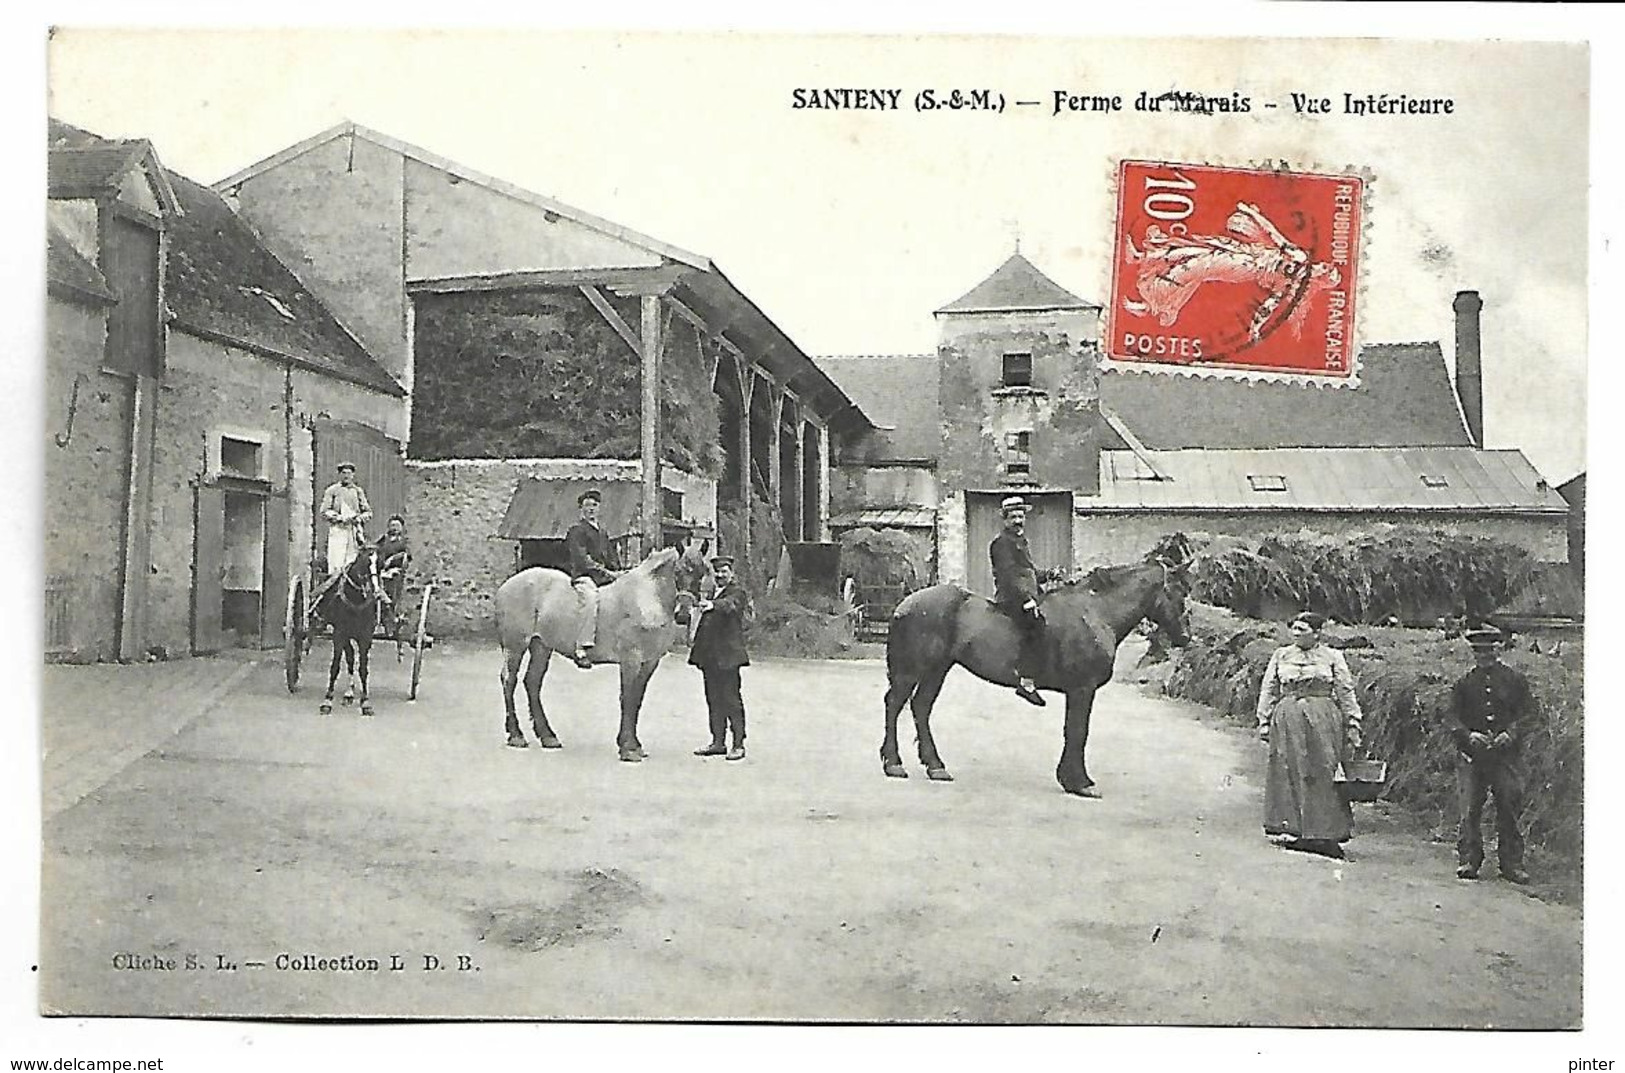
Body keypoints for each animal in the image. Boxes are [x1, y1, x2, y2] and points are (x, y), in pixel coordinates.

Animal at [308, 549, 378, 715]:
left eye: (379, 562)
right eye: (367, 561)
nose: (375, 590)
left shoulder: (366, 637)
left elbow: (363, 669)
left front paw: (365, 702)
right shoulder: (339, 634)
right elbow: (335, 667)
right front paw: (327, 700)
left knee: (352, 657)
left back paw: (350, 693)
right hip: (344, 635)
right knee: (350, 657)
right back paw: (348, 693)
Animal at [877, 546, 1196, 796]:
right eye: (1179, 591)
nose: (1186, 637)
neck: (1095, 612)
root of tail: (905, 604)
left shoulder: (1077, 692)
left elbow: (1072, 731)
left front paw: (1069, 779)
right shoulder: (1083, 689)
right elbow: (1078, 731)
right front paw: (1080, 782)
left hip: (937, 670)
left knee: (920, 708)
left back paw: (935, 766)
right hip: (912, 670)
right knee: (894, 705)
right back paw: (894, 763)